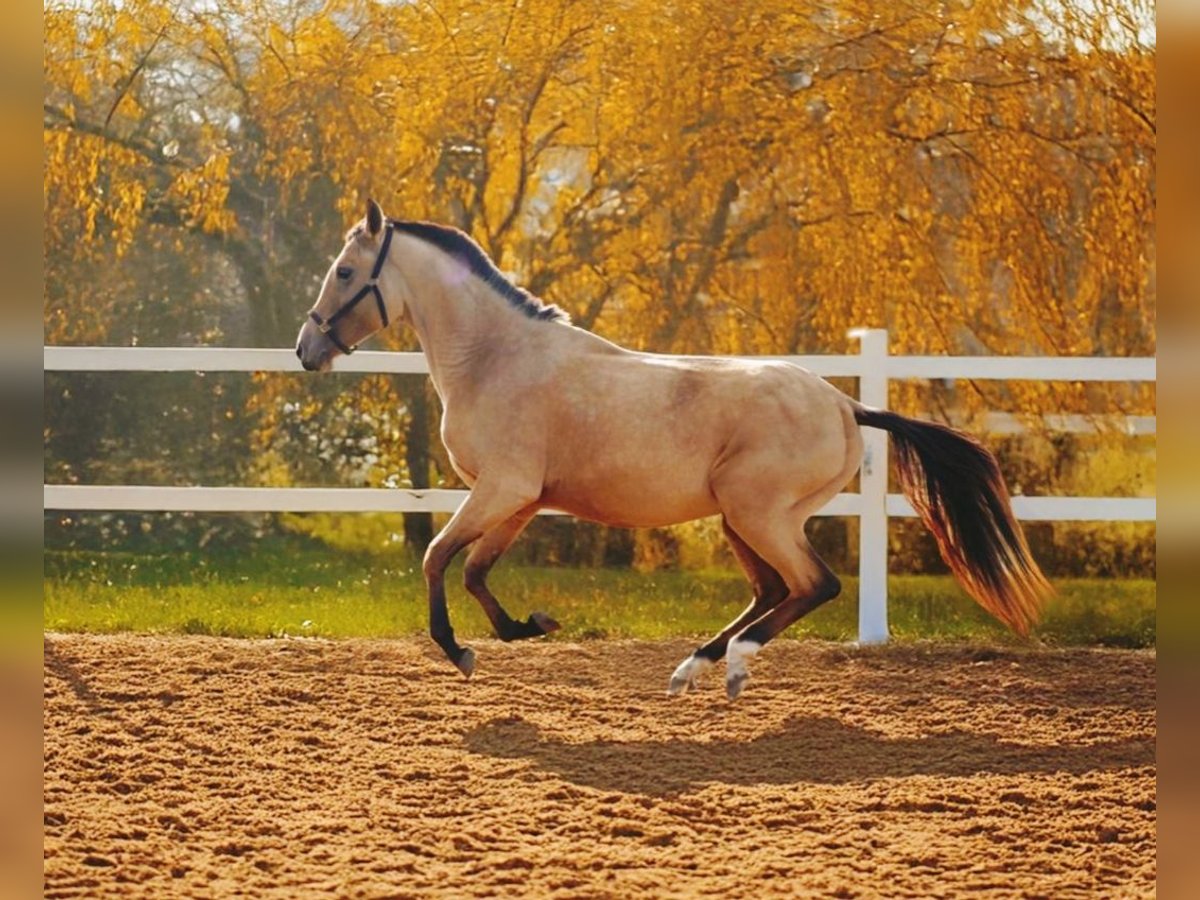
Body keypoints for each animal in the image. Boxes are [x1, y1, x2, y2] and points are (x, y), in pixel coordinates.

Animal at [292, 199, 1051, 705]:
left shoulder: (502, 489)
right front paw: (530, 627)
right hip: (741, 519)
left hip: (757, 514)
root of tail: (846, 405)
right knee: (772, 589)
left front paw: (461, 652)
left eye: (345, 271)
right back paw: (693, 669)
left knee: (813, 586)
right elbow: (476, 570)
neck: (496, 357)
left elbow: (435, 557)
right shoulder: (522, 499)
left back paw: (733, 667)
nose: (306, 350)